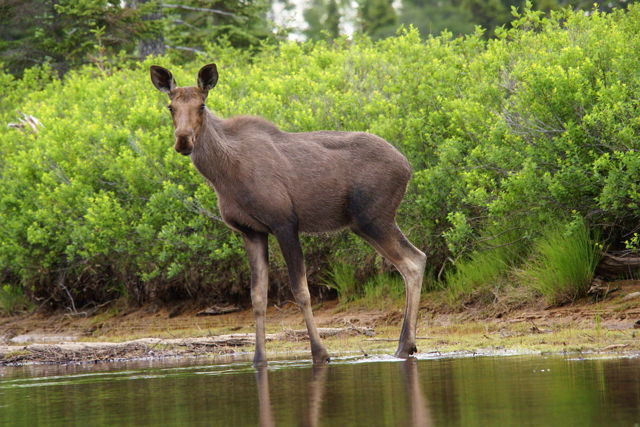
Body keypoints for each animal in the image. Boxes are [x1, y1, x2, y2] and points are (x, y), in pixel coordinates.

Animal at [150, 63, 427, 366]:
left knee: (414, 260)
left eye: (201, 105)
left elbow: (301, 291)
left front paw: (320, 353)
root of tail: (408, 167)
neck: (223, 176)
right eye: (170, 106)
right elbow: (258, 297)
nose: (183, 140)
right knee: (412, 261)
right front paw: (259, 359)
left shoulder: (285, 223)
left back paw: (404, 346)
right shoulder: (251, 231)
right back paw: (406, 345)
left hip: (374, 218)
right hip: (366, 223)